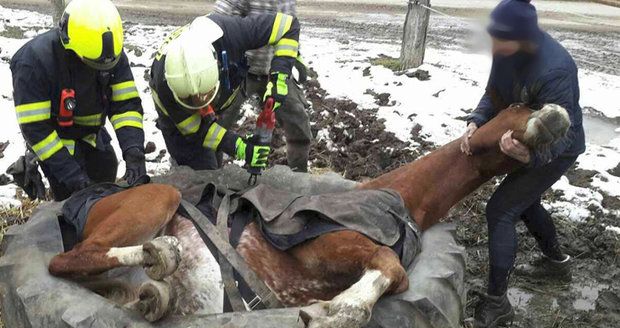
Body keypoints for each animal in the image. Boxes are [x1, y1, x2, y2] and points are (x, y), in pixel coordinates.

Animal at [48, 104, 572, 326]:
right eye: (517, 105)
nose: (560, 114)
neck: (396, 198)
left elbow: (396, 274)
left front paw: (333, 307)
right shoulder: (330, 246)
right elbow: (392, 269)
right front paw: (341, 311)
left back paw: (151, 291)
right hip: (156, 199)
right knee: (66, 259)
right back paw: (158, 252)